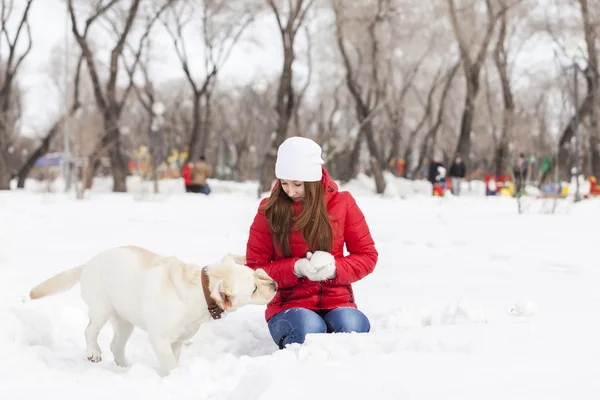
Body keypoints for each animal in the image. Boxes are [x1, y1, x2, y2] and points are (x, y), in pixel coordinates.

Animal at [29, 247, 278, 376]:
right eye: (254, 289)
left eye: (257, 273)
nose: (275, 285)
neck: (199, 290)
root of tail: (88, 263)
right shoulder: (160, 339)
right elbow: (169, 362)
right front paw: (174, 377)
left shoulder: (177, 341)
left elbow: (174, 358)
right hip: (102, 308)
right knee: (90, 331)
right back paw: (94, 353)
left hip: (125, 320)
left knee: (116, 345)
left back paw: (127, 368)